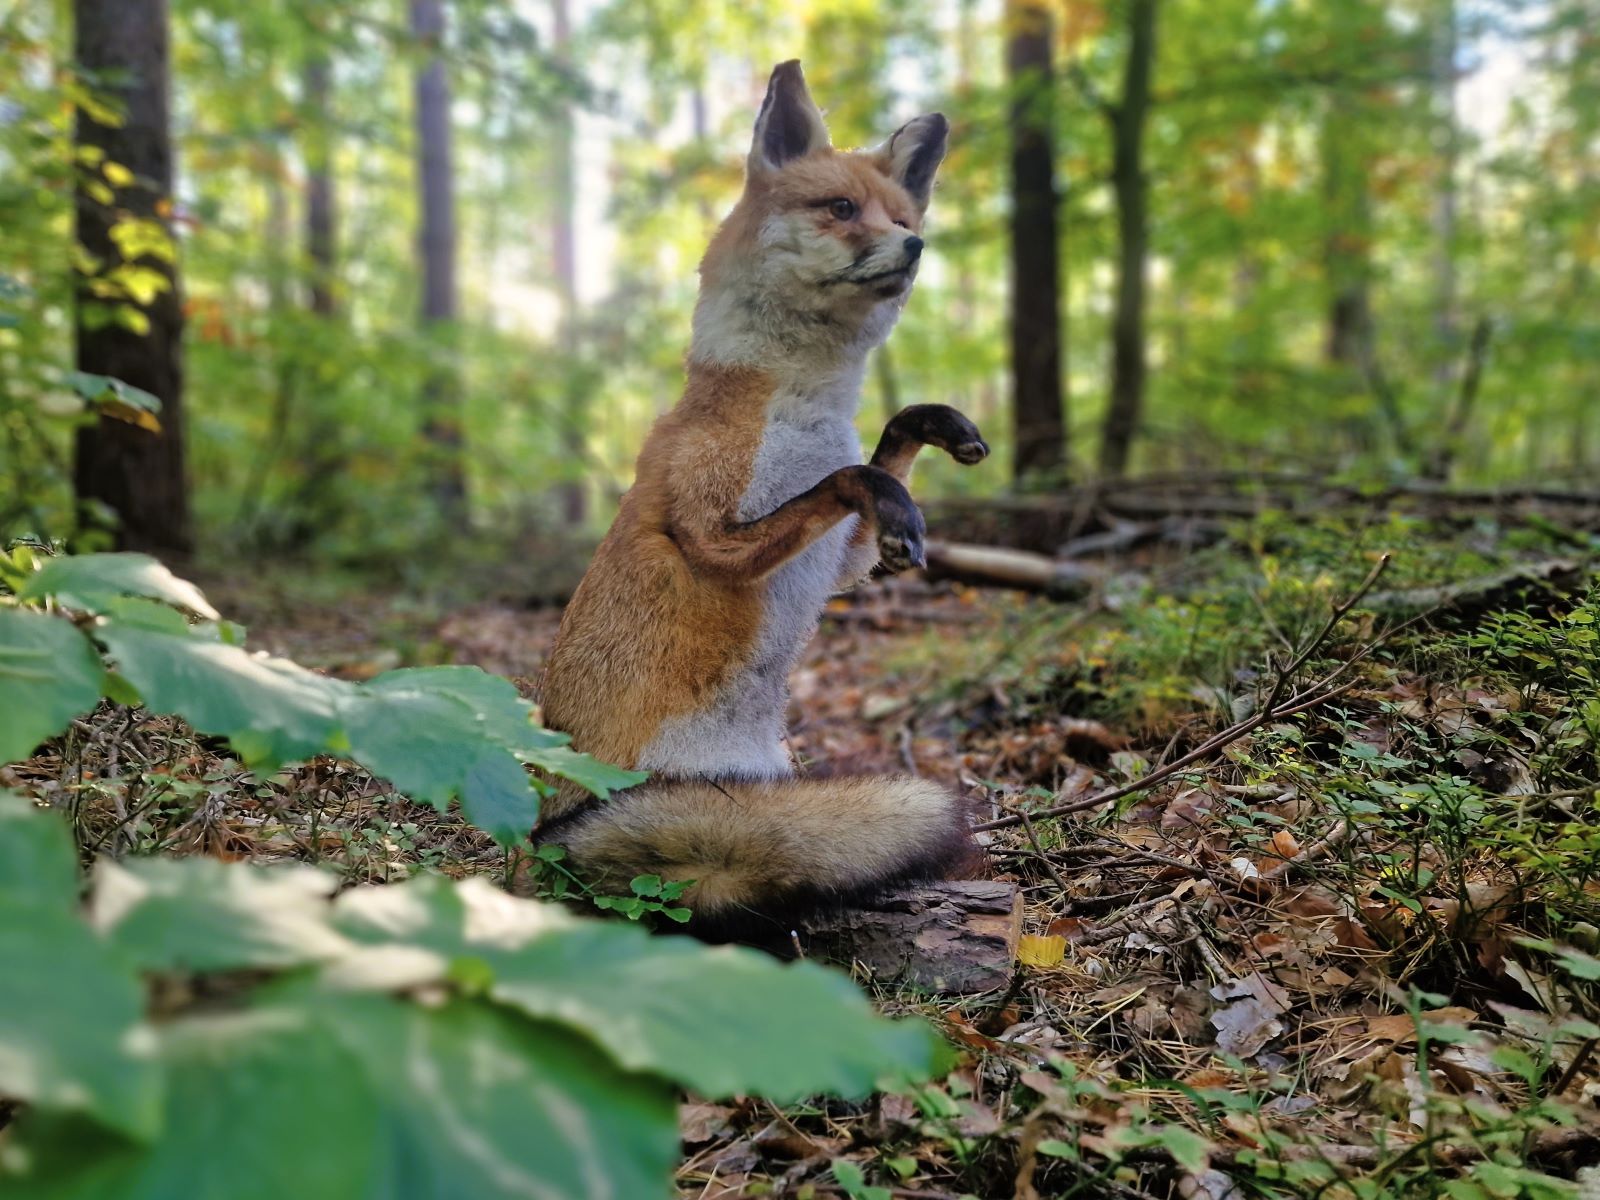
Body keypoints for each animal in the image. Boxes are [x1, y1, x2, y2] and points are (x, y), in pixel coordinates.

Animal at [536, 60, 989, 939]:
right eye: (840, 209)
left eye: (903, 216)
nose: (916, 246)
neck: (804, 413)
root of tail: (535, 843)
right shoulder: (712, 533)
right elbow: (848, 479)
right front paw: (896, 504)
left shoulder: (840, 557)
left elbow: (884, 449)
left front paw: (933, 428)